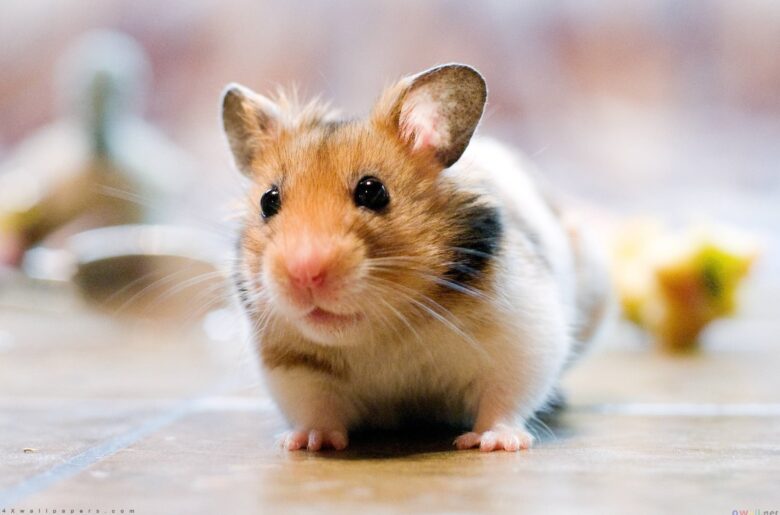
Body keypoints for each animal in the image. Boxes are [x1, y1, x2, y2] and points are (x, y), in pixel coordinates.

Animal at [221, 64, 612, 452]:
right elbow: (316, 407)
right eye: (268, 200)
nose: (304, 274)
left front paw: (493, 443)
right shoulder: (291, 368)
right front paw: (306, 443)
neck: (385, 331)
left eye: (373, 191)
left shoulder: (524, 339)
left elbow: (504, 398)